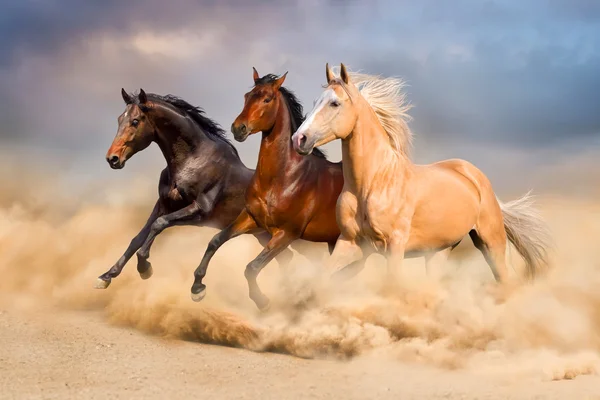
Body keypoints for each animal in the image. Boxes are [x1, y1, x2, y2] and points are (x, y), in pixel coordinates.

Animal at [95, 88, 294, 288]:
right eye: (119, 119)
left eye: (135, 121)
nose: (112, 158)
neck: (192, 161)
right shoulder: (163, 205)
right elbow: (138, 238)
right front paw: (106, 276)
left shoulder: (199, 211)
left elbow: (159, 224)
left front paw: (144, 267)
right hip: (263, 235)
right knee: (285, 257)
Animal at [188, 69, 346, 310]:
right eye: (247, 96)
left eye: (267, 99)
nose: (238, 128)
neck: (283, 178)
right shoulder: (251, 219)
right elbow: (215, 241)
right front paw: (197, 288)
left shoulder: (286, 233)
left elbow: (252, 267)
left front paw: (262, 301)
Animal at [292, 63, 552, 284]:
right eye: (315, 101)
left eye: (334, 103)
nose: (299, 139)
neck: (372, 183)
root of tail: (476, 177)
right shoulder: (349, 243)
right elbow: (323, 278)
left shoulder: (394, 246)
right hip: (438, 252)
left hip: (491, 243)